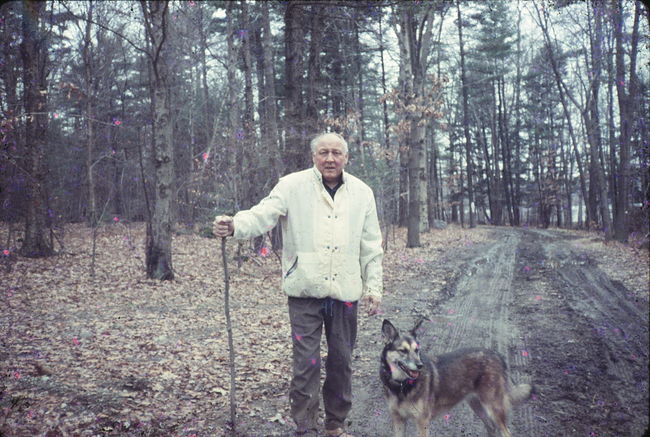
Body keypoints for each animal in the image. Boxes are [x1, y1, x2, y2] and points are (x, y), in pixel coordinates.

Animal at [380, 316, 532, 436]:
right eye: (403, 351)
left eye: (417, 350)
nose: (420, 365)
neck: (401, 385)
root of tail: (497, 355)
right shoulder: (398, 420)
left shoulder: (422, 422)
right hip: (476, 404)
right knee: (491, 427)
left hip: (493, 407)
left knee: (505, 432)